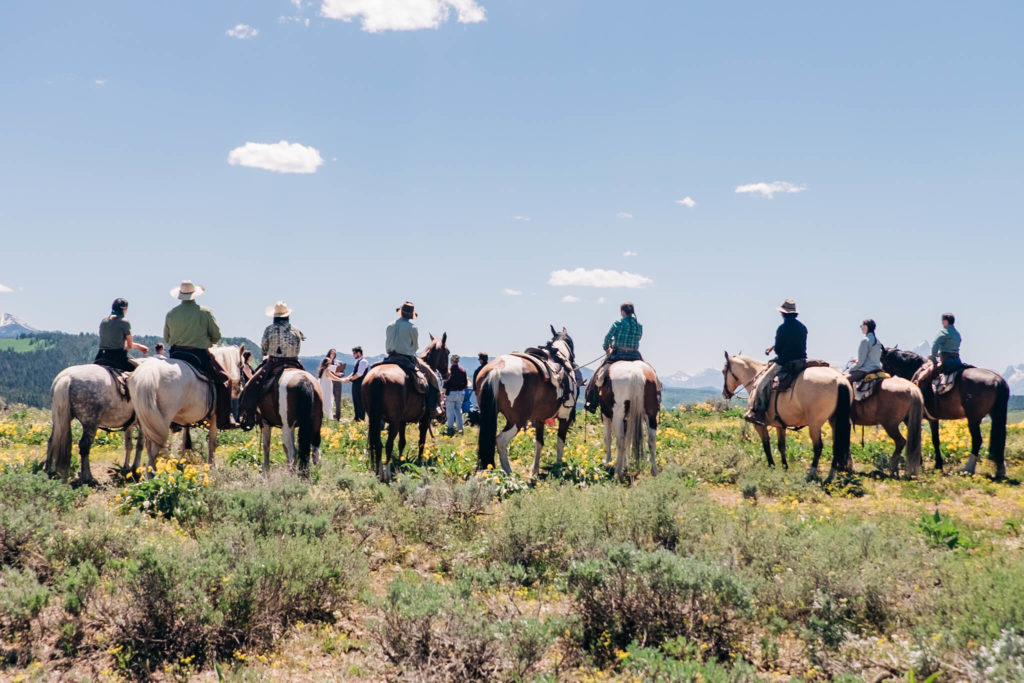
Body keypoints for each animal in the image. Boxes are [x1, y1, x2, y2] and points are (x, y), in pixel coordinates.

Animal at [364, 333, 452, 483]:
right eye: (447, 352)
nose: (448, 374)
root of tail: (378, 377)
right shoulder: (424, 419)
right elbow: (421, 441)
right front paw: (420, 462)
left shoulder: (402, 421)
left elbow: (402, 442)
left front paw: (401, 462)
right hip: (393, 421)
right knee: (388, 444)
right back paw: (387, 474)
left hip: (374, 418)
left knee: (377, 443)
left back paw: (378, 472)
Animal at [475, 327, 581, 479]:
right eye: (571, 344)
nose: (574, 362)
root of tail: (497, 369)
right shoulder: (564, 418)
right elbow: (560, 444)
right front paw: (558, 468)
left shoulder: (540, 419)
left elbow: (539, 443)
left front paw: (535, 470)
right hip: (516, 420)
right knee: (501, 440)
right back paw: (509, 472)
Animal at [720, 356, 856, 483]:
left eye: (723, 371)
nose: (725, 393)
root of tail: (839, 380)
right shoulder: (780, 425)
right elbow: (781, 446)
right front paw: (785, 467)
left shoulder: (759, 425)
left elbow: (766, 444)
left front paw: (772, 466)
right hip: (834, 421)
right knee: (836, 446)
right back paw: (830, 476)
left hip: (815, 424)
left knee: (818, 447)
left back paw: (811, 474)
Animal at [876, 350, 1011, 479]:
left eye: (882, 360)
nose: (882, 377)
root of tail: (997, 380)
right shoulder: (933, 419)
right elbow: (935, 440)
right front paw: (938, 465)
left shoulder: (911, 418)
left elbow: (915, 437)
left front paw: (919, 462)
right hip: (995, 415)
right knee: (1000, 439)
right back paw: (1000, 470)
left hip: (973, 418)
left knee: (977, 440)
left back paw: (968, 468)